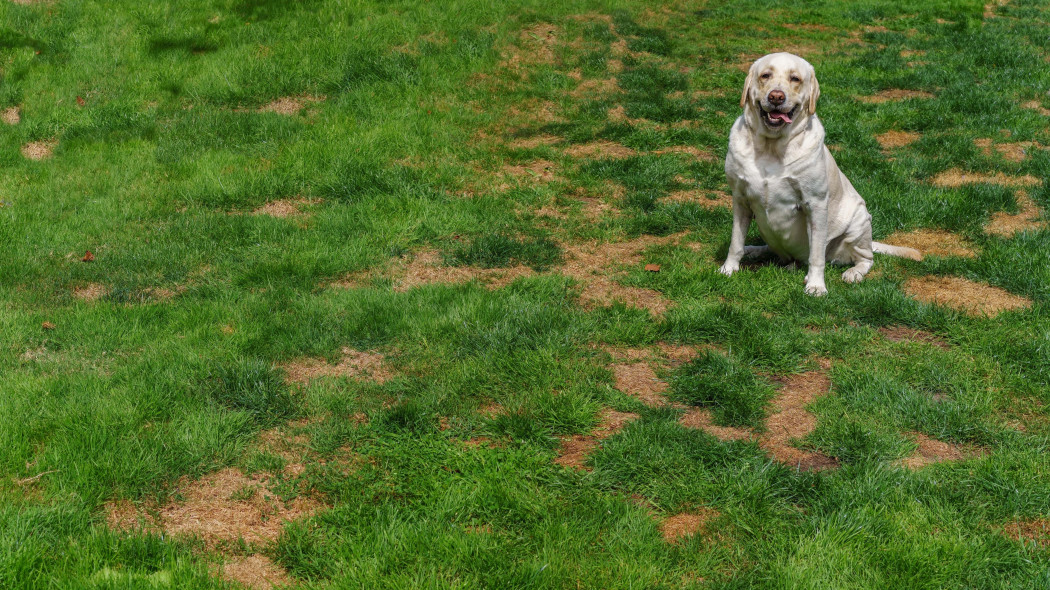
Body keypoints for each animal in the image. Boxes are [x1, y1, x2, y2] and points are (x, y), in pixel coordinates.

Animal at [722, 52, 919, 293]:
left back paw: (851, 273)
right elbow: (735, 242)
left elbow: (817, 255)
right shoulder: (740, 199)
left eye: (795, 79)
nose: (776, 97)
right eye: (765, 75)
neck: (771, 148)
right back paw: (755, 250)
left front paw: (816, 286)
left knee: (865, 259)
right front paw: (728, 269)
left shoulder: (815, 204)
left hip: (859, 222)